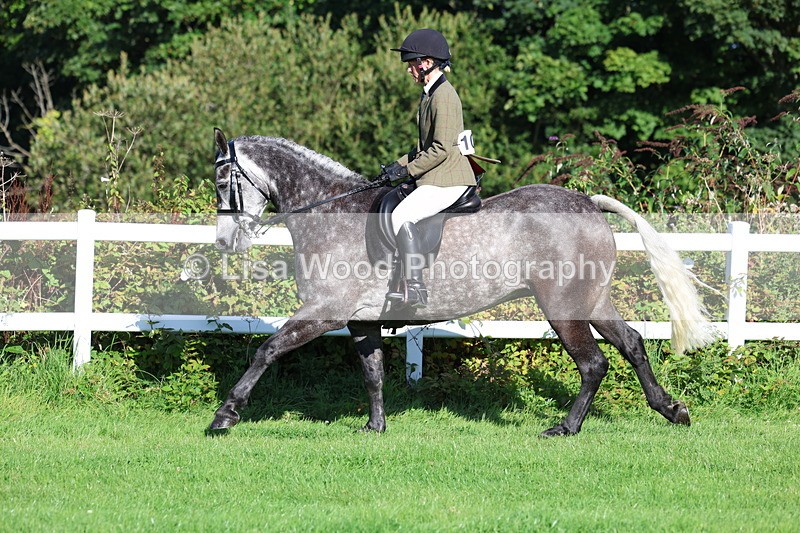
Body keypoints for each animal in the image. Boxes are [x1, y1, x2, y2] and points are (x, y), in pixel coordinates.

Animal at [208, 128, 714, 436]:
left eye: (222, 181)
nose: (225, 242)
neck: (331, 212)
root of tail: (588, 203)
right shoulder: (360, 320)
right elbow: (373, 373)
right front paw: (375, 427)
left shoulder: (323, 312)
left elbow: (267, 350)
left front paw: (225, 415)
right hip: (592, 301)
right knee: (631, 343)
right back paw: (672, 409)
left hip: (564, 308)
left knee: (593, 364)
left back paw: (565, 428)